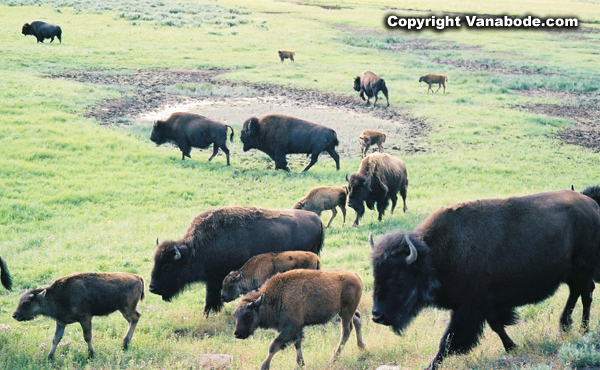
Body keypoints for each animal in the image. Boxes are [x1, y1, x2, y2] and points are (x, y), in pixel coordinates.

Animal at [12, 272, 144, 358]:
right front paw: (49, 357)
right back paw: (126, 343)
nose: (15, 315)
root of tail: (138, 277)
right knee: (132, 320)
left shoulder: (85, 318)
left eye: (27, 302)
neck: (58, 295)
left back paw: (125, 344)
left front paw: (91, 354)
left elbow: (87, 336)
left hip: (127, 308)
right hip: (123, 310)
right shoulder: (61, 322)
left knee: (136, 317)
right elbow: (56, 339)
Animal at [150, 205, 326, 316]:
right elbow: (211, 295)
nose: (152, 287)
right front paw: (210, 312)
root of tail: (317, 219)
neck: (196, 249)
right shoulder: (212, 279)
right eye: (155, 262)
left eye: (167, 266)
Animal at [234, 268, 366, 370]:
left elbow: (274, 345)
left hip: (346, 312)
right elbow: (297, 344)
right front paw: (300, 363)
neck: (278, 296)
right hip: (346, 312)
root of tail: (356, 275)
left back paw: (334, 359)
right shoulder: (296, 328)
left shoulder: (291, 327)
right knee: (357, 319)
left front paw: (264, 367)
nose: (237, 334)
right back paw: (361, 346)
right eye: (235, 314)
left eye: (248, 314)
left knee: (346, 331)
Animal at [368, 189, 600, 368]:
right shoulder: (485, 305)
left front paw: (431, 365)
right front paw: (511, 347)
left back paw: (583, 329)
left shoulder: (469, 307)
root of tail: (592, 206)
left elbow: (449, 340)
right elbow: (496, 326)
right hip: (570, 273)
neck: (433, 255)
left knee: (586, 295)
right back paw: (565, 327)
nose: (377, 315)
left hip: (581, 270)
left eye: (397, 276)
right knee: (576, 293)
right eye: (375, 274)